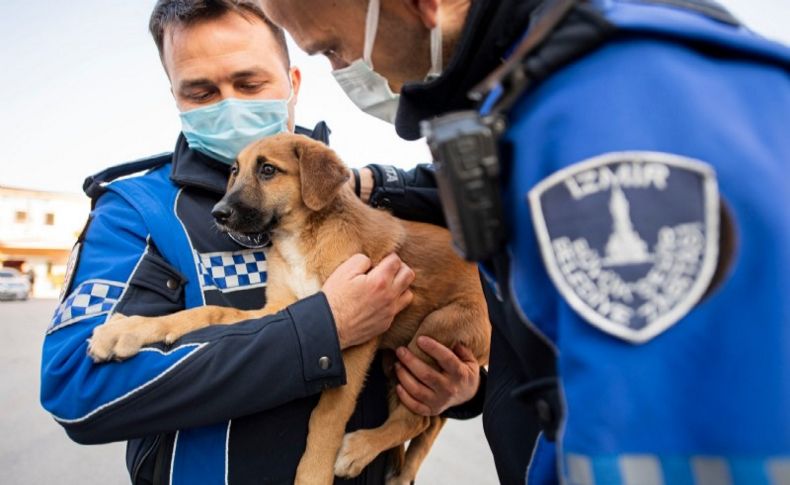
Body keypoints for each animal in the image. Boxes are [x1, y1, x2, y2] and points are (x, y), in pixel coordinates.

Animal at [89, 132, 492, 484]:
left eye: (268, 170)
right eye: (234, 171)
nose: (218, 213)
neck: (303, 238)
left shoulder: (362, 335)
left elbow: (328, 414)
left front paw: (313, 474)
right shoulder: (287, 308)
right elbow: (209, 314)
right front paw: (125, 329)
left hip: (437, 327)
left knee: (418, 421)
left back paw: (358, 450)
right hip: (397, 356)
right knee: (427, 421)